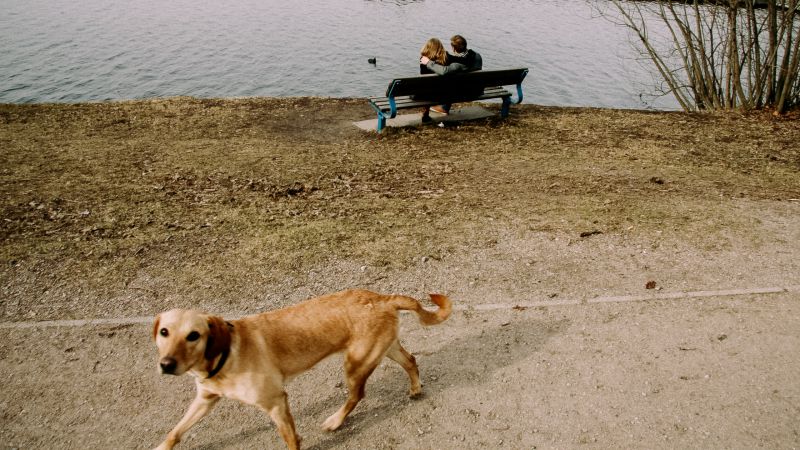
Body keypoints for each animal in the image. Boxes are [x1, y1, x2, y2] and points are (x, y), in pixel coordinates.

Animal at [151, 288, 450, 450]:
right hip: (384, 349)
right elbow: (176, 430)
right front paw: (163, 445)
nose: (166, 365)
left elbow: (291, 440)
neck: (225, 356)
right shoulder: (204, 400)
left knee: (356, 396)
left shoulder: (276, 403)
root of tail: (383, 298)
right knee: (411, 361)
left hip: (355, 363)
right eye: (164, 332)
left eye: (193, 335)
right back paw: (415, 388)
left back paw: (335, 421)